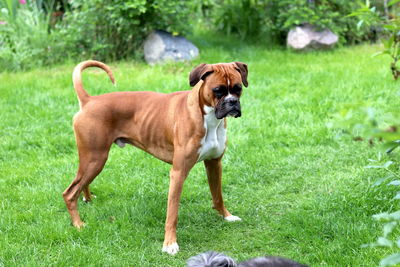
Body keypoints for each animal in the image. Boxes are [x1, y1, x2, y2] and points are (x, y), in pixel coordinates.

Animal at [63, 60, 248, 255]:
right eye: (218, 90)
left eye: (238, 88)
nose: (232, 102)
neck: (208, 118)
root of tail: (89, 100)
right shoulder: (178, 173)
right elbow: (172, 213)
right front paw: (170, 244)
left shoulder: (214, 164)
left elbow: (217, 195)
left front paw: (226, 216)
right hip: (95, 158)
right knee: (70, 193)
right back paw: (78, 224)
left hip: (91, 159)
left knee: (82, 182)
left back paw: (87, 199)